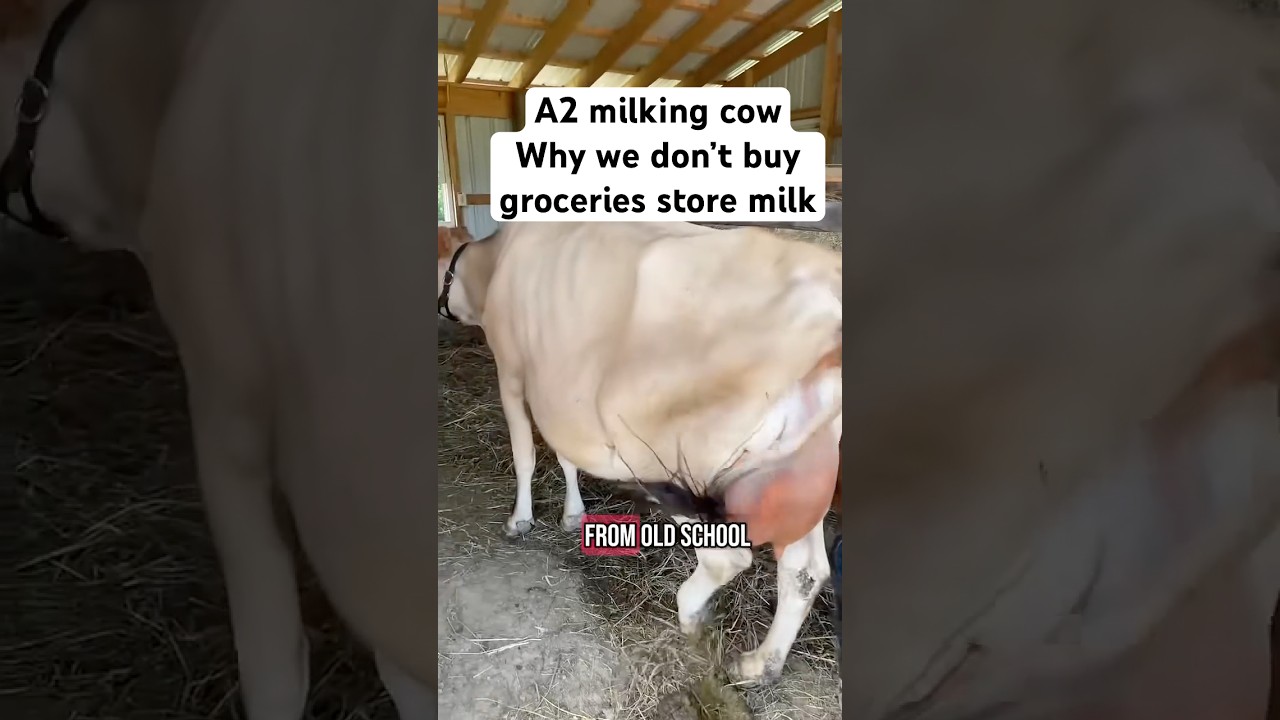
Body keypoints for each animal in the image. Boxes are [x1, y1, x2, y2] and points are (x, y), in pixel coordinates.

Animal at [436, 221, 843, 685]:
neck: (493, 264)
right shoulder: (560, 399)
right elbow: (566, 456)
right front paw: (573, 514)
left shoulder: (511, 370)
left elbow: (524, 452)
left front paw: (519, 521)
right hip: (798, 474)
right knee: (805, 570)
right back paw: (760, 663)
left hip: (679, 468)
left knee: (727, 557)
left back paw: (692, 614)